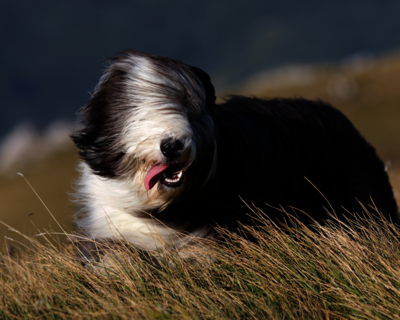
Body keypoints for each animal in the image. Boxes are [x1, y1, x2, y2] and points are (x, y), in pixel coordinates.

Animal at [71, 49, 396, 255]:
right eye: (137, 113)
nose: (172, 144)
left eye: (191, 111)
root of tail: (339, 117)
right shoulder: (108, 225)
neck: (159, 205)